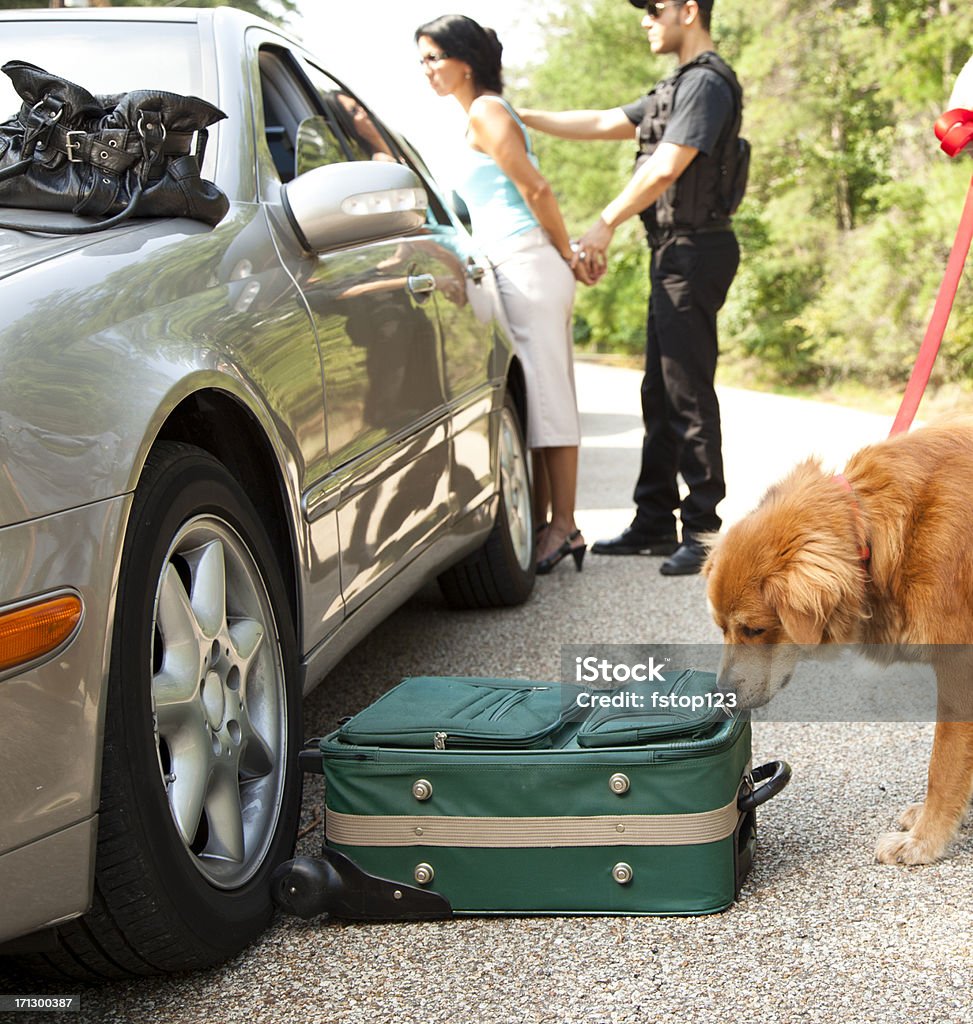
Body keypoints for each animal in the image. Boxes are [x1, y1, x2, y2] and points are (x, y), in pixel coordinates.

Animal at [704, 417, 973, 864]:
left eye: (754, 629)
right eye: (721, 627)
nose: (720, 693)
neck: (875, 529)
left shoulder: (958, 670)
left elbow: (944, 766)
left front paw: (926, 838)